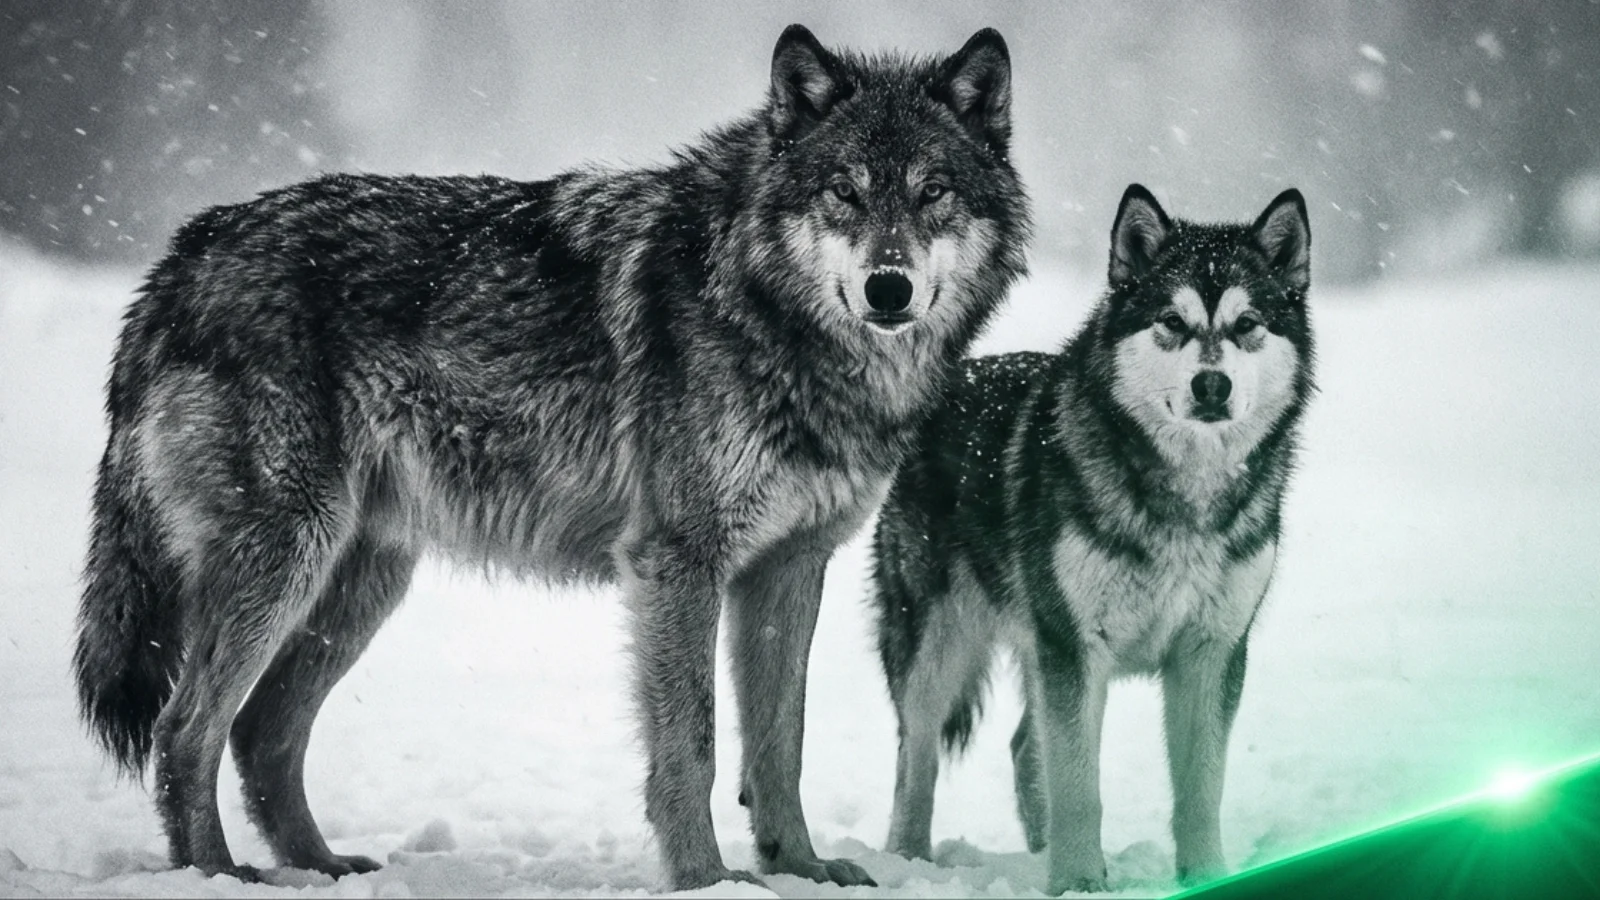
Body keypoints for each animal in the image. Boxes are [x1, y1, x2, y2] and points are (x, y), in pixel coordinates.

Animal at [72, 24, 1031, 890]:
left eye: (933, 192)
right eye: (844, 192)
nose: (888, 288)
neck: (768, 314)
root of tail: (183, 254)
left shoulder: (789, 568)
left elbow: (780, 745)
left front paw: (799, 867)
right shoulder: (677, 561)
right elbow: (694, 744)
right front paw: (707, 879)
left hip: (361, 580)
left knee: (261, 732)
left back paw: (320, 869)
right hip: (287, 560)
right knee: (186, 728)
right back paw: (216, 874)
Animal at [872, 184, 1313, 893]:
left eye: (1247, 325)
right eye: (1171, 322)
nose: (1211, 385)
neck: (1184, 496)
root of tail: (946, 382)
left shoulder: (1211, 652)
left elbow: (1200, 788)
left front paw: (1205, 876)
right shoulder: (1077, 649)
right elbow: (1080, 786)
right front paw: (1080, 883)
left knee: (1025, 747)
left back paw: (1037, 854)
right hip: (938, 648)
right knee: (917, 758)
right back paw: (909, 860)